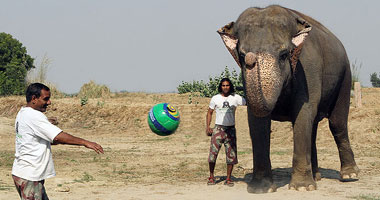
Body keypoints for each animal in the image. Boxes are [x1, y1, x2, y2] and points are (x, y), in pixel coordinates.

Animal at [217, 4, 360, 192]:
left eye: (284, 54)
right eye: (241, 55)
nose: (250, 59)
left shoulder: (308, 68)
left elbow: (303, 111)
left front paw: (302, 188)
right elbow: (257, 120)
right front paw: (261, 189)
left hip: (345, 78)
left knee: (337, 123)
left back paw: (349, 175)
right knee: (313, 126)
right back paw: (316, 176)